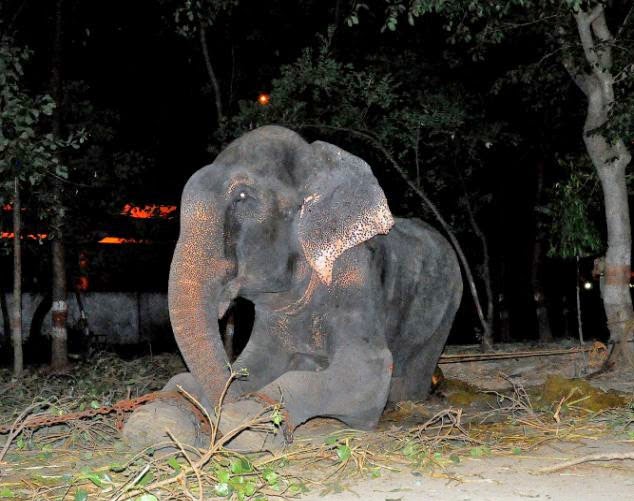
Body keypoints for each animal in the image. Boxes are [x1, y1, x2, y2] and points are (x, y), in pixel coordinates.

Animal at [122, 125, 460, 450]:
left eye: (242, 196)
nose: (211, 423)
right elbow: (253, 363)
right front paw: (154, 422)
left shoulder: (354, 273)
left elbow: (369, 371)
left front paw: (247, 424)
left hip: (448, 307)